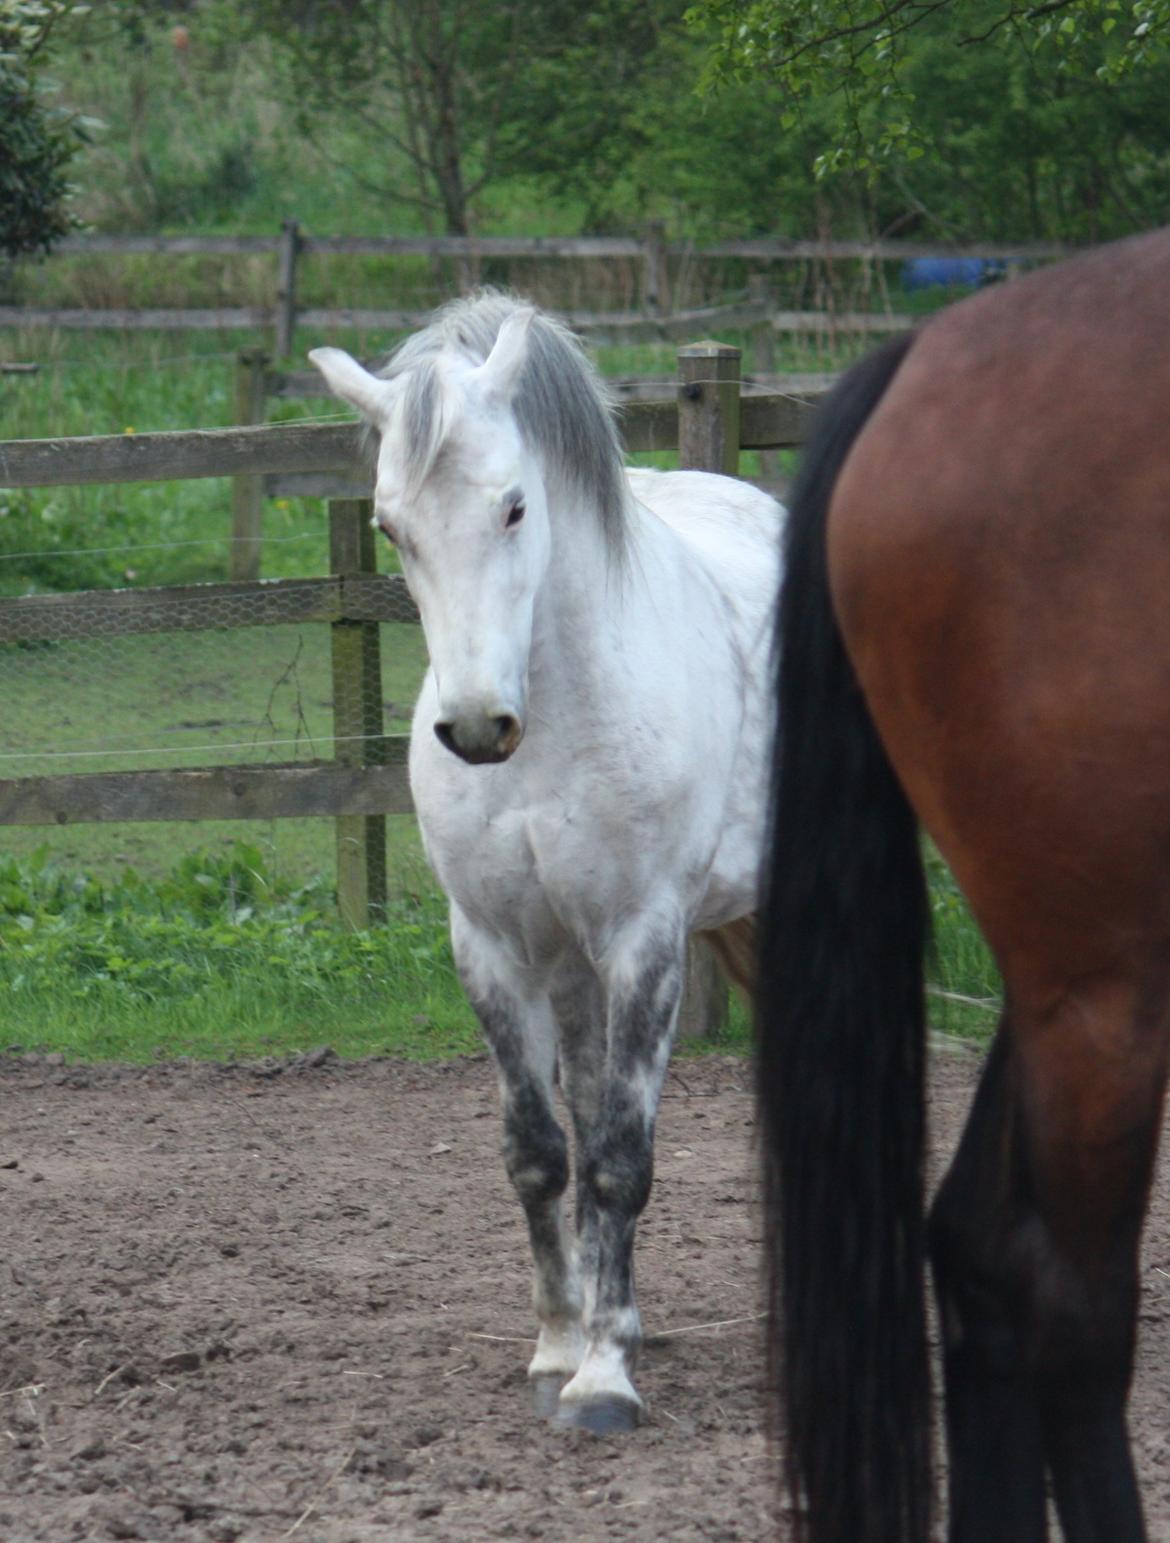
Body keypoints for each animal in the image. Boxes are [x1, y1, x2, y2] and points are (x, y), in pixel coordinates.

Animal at [311, 297, 787, 1431]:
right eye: (391, 526)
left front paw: (605, 1379)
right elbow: (542, 1152)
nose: (478, 726)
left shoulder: (646, 942)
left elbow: (620, 1158)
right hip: (573, 969)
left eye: (515, 507)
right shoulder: (496, 945)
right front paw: (563, 1345)